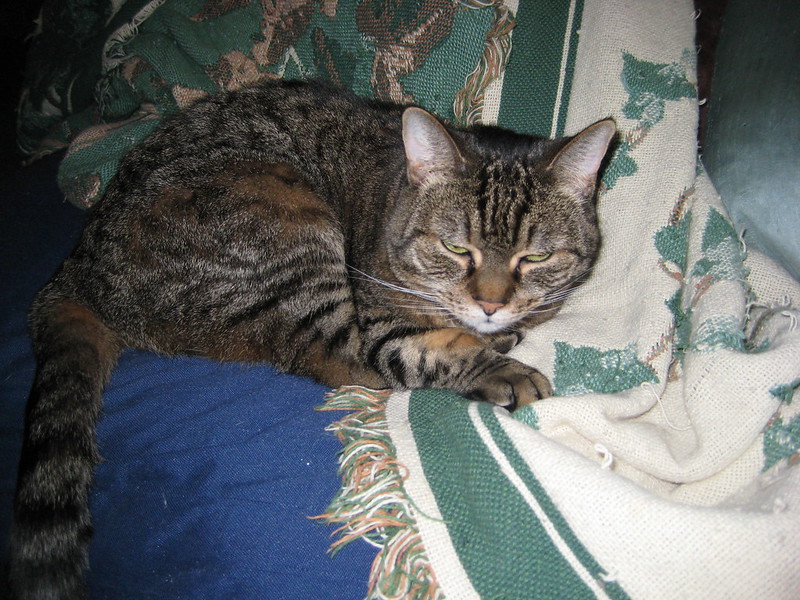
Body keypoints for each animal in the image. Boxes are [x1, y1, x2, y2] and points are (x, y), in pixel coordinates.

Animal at [7, 78, 614, 599]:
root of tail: (78, 267)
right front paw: (503, 367)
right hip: (287, 223)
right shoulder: (379, 321)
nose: (491, 303)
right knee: (345, 358)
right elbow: (426, 351)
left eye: (535, 257)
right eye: (456, 248)